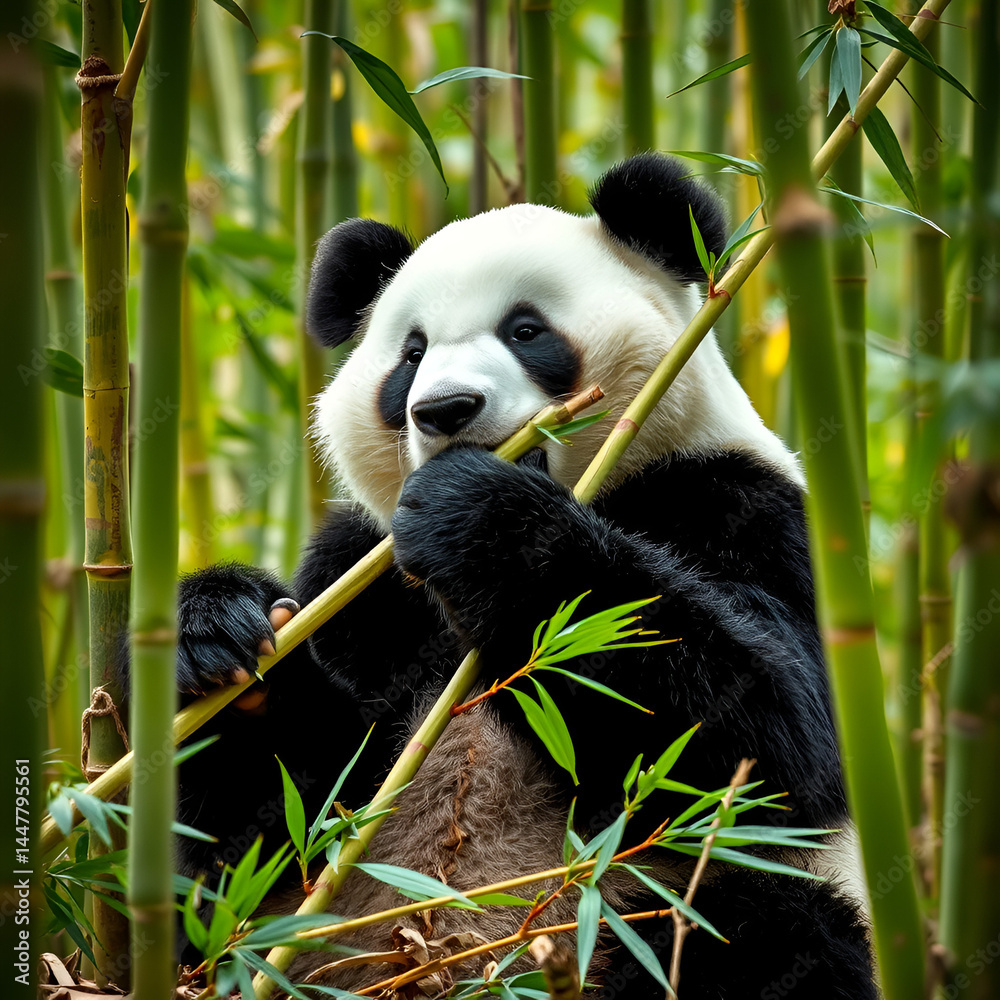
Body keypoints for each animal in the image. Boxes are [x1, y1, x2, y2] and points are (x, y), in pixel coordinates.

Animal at [166, 154, 877, 999]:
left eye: (526, 330)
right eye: (410, 354)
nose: (446, 408)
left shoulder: (742, 503)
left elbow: (770, 746)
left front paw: (477, 517)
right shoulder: (360, 574)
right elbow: (274, 821)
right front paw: (220, 641)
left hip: (637, 919)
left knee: (766, 930)